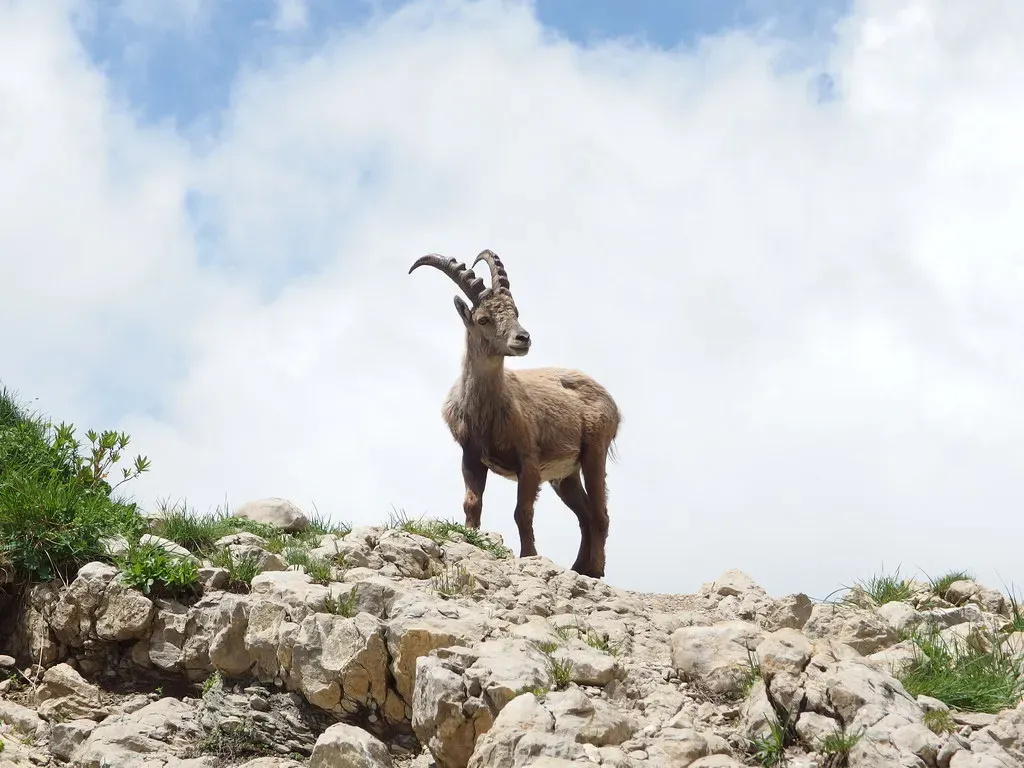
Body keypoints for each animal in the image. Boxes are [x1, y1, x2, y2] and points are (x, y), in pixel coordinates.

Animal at [408, 249, 621, 578]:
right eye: (483, 319)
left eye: (515, 312)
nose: (523, 338)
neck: (487, 411)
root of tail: (610, 400)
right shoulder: (471, 456)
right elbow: (472, 503)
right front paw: (471, 539)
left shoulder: (529, 461)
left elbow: (523, 511)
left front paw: (529, 555)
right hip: (565, 475)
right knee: (585, 514)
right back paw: (580, 568)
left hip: (594, 451)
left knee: (600, 513)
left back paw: (596, 570)